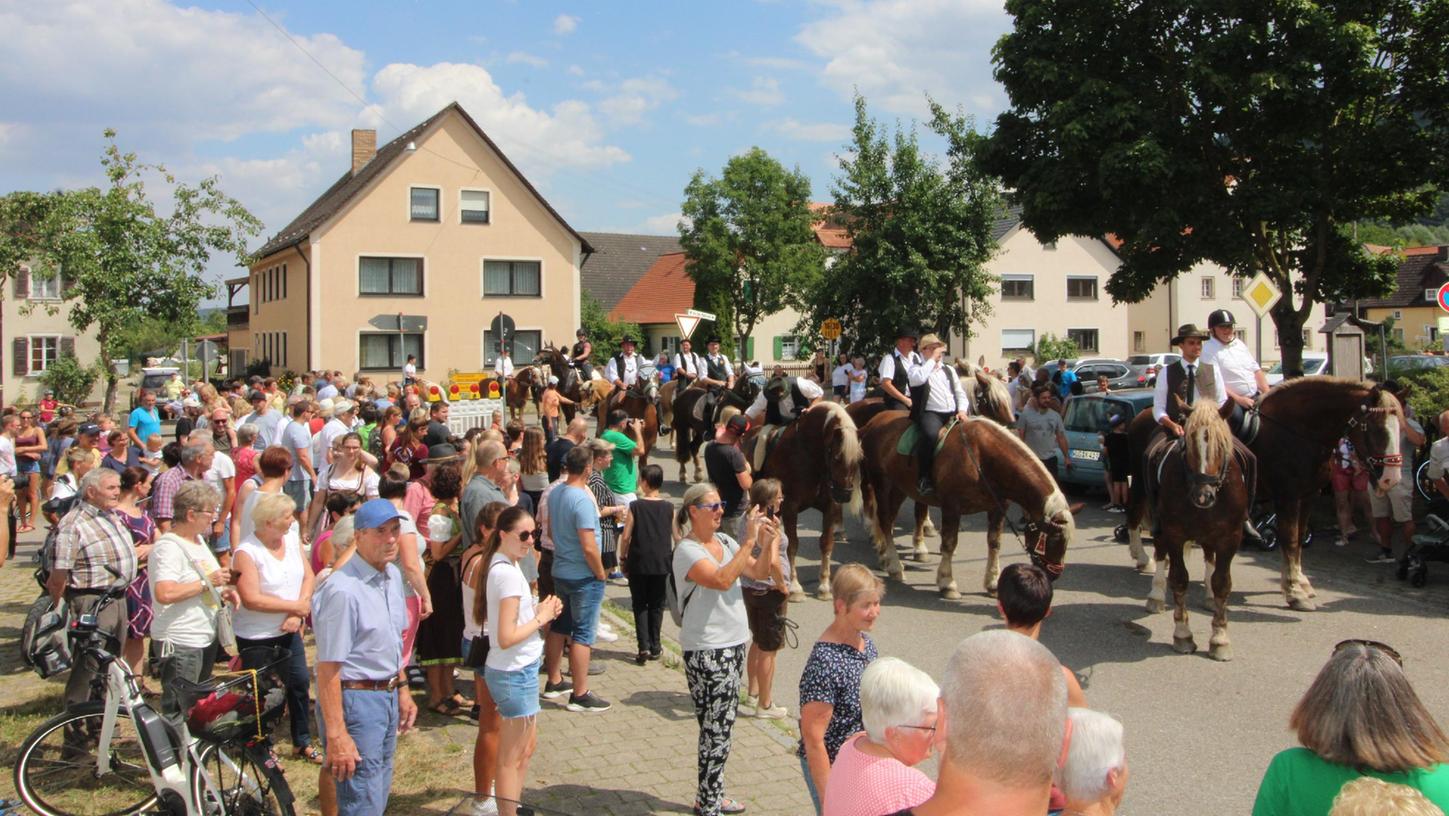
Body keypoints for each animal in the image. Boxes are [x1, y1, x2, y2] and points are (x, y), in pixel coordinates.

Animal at [741, 402, 863, 600]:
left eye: (859, 458)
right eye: (837, 457)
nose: (844, 495)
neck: (810, 455)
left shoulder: (830, 507)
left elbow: (826, 543)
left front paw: (824, 586)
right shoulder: (790, 507)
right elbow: (792, 544)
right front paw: (795, 587)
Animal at [852, 414, 1072, 600]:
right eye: (1054, 539)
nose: (1054, 574)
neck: (982, 458)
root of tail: (873, 423)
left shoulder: (998, 508)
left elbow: (994, 543)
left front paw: (993, 583)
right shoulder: (952, 506)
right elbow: (949, 543)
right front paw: (947, 583)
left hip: (900, 487)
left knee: (888, 520)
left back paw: (887, 558)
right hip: (881, 483)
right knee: (884, 519)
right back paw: (895, 565)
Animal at [1124, 379, 1408, 608]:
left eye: (1401, 427)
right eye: (1376, 429)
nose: (1391, 478)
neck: (1298, 431)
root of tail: (1145, 414)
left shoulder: (1309, 494)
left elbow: (1299, 537)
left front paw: (1300, 581)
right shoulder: (1287, 497)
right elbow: (1290, 539)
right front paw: (1294, 591)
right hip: (1139, 483)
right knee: (1134, 515)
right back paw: (1142, 558)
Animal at [1136, 402, 1251, 663]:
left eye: (1221, 445)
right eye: (1188, 443)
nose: (1203, 495)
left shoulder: (1230, 537)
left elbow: (1222, 583)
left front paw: (1220, 639)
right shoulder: (1174, 534)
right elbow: (1179, 579)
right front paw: (1183, 636)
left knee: (1209, 556)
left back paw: (1208, 596)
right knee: (1160, 554)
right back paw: (1156, 596)